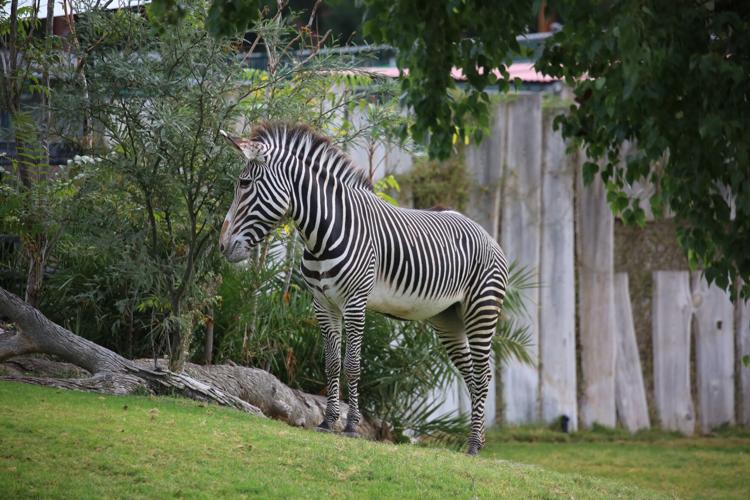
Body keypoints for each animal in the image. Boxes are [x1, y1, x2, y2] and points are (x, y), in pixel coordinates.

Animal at [219, 123, 508, 455]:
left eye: (244, 183)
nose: (222, 246)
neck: (323, 232)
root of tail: (485, 232)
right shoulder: (323, 304)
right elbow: (332, 363)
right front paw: (328, 421)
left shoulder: (355, 302)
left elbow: (353, 365)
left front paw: (352, 427)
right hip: (448, 318)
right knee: (472, 376)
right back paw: (479, 440)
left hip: (481, 310)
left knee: (483, 375)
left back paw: (473, 445)